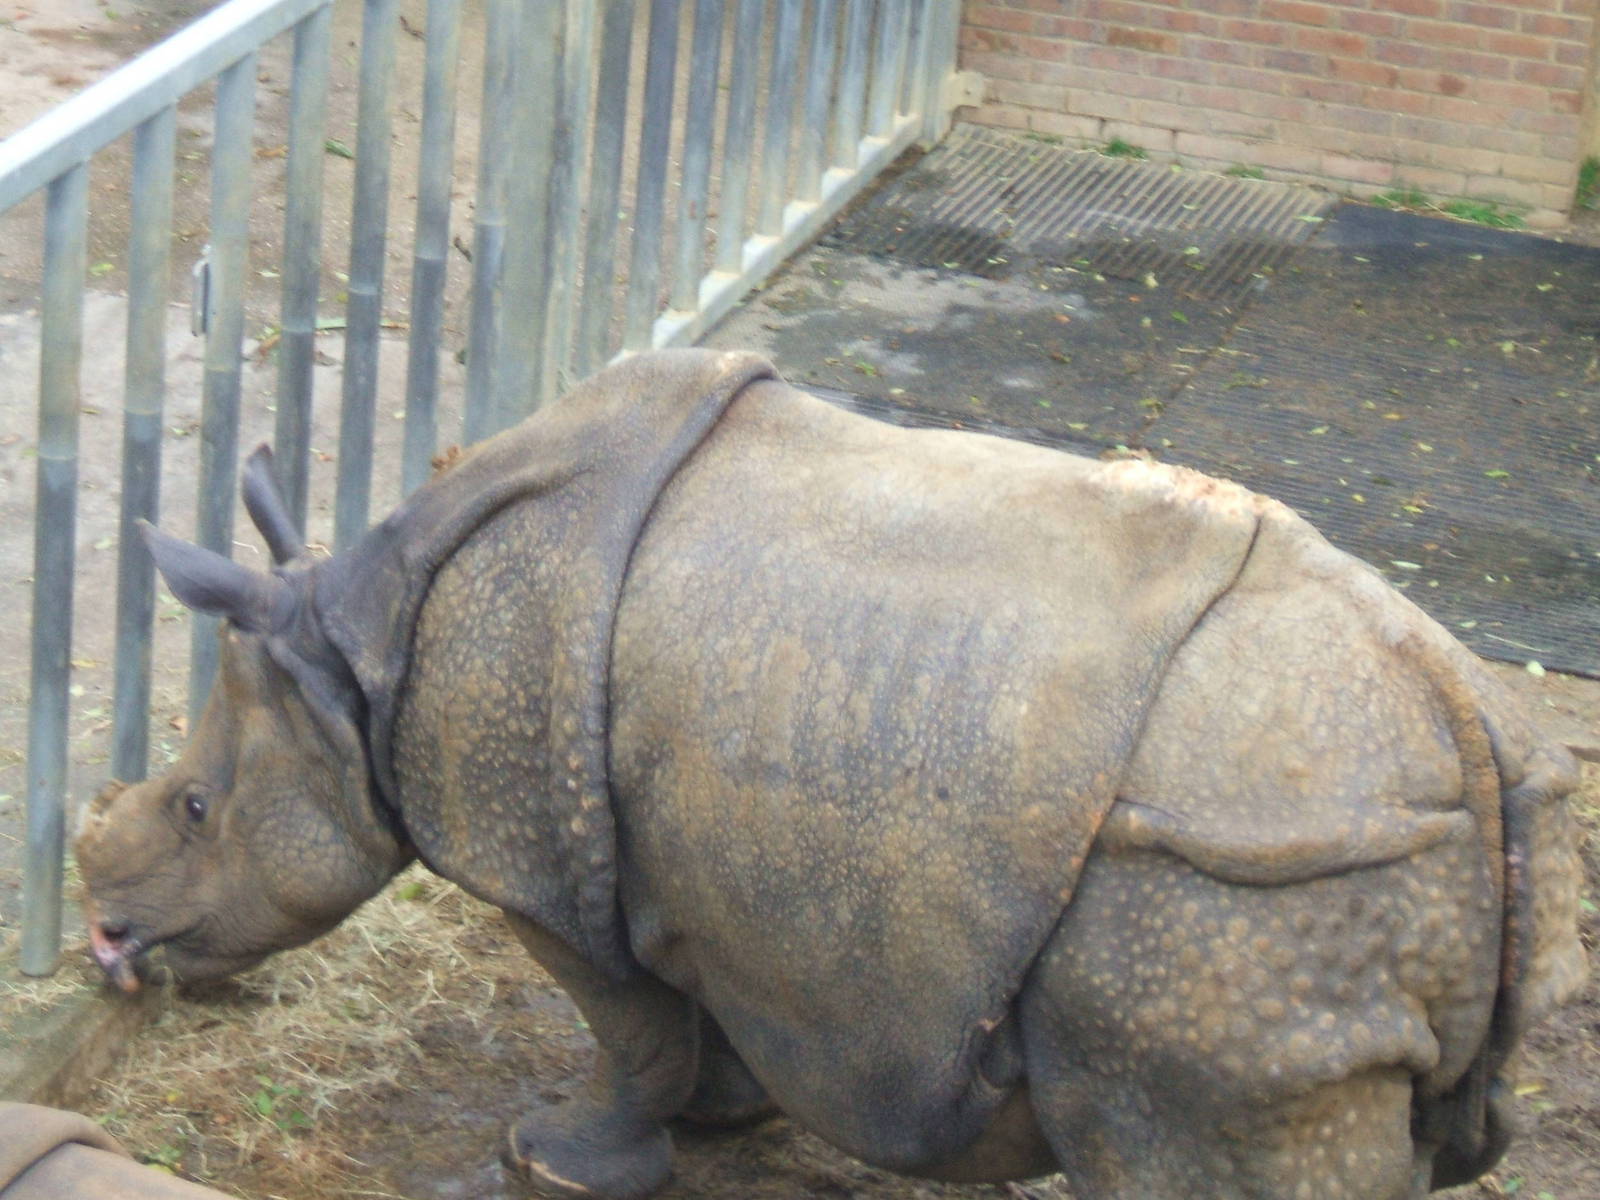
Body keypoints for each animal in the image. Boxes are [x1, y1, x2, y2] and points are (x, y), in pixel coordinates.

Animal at [77, 349, 1586, 1200]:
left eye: (197, 811)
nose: (105, 938)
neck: (358, 663)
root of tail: (1465, 716)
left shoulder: (543, 862)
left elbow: (625, 1023)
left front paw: (556, 1159)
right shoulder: (694, 853)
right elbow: (707, 993)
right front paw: (729, 1113)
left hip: (1234, 894)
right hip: (1350, 870)